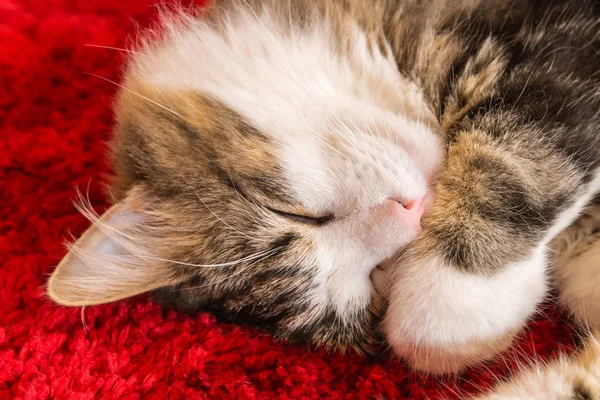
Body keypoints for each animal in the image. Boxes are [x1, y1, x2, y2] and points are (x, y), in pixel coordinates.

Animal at [47, 0, 600, 394]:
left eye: (297, 215)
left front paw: (451, 311)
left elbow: (513, 159)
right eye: (376, 280)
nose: (413, 214)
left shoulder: (557, 58)